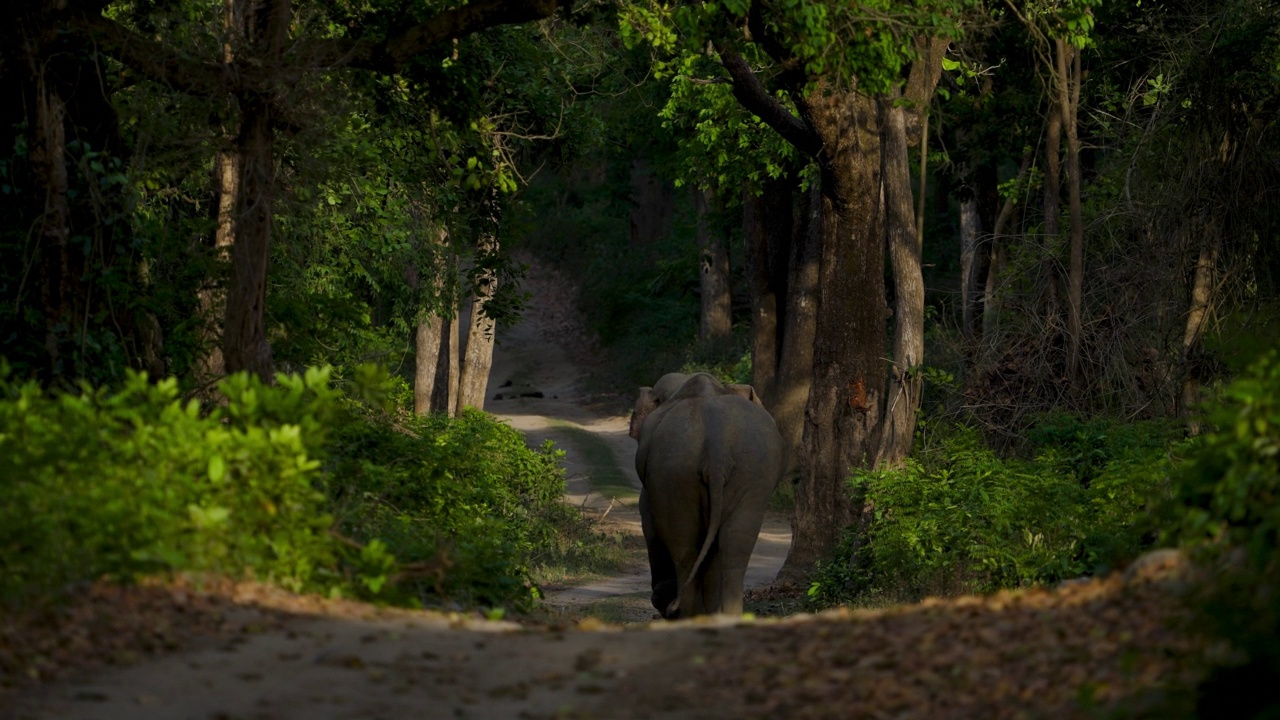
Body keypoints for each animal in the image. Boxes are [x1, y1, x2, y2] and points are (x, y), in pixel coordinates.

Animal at [627, 368, 783, 617]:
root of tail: (716, 449)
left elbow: (650, 526)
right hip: (753, 470)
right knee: (735, 541)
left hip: (674, 474)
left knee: (684, 546)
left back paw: (688, 614)